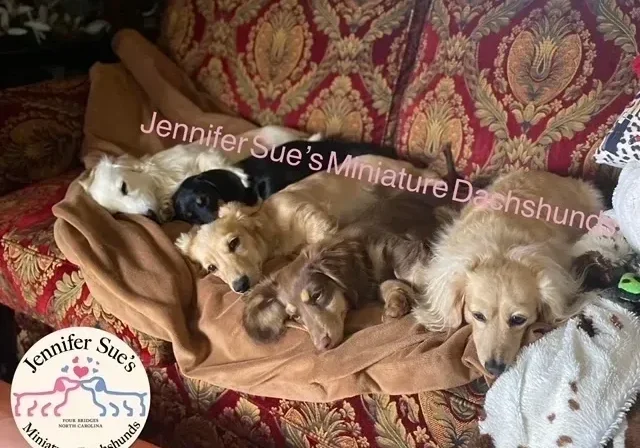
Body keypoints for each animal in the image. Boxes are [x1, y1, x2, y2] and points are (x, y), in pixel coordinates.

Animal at [242, 188, 458, 350]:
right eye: (294, 316)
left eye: (317, 295)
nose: (322, 346)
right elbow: (388, 284)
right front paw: (396, 302)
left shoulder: (400, 247)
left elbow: (413, 271)